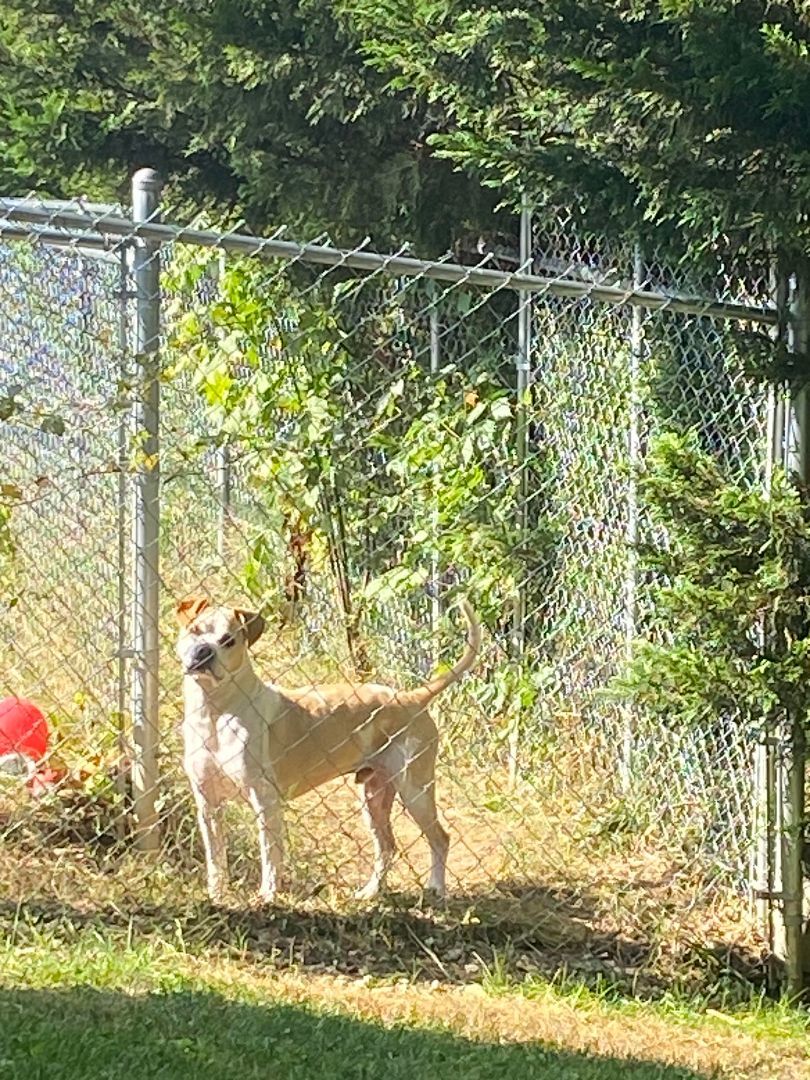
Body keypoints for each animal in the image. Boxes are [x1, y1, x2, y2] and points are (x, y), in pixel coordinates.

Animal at [176, 596, 481, 907]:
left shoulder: (265, 801)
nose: (204, 651)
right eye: (195, 629)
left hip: (415, 790)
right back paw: (370, 892)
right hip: (374, 798)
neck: (214, 712)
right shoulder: (207, 804)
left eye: (228, 640)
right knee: (387, 846)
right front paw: (216, 895)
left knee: (440, 838)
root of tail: (412, 697)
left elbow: (270, 856)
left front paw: (267, 897)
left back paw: (437, 889)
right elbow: (215, 858)